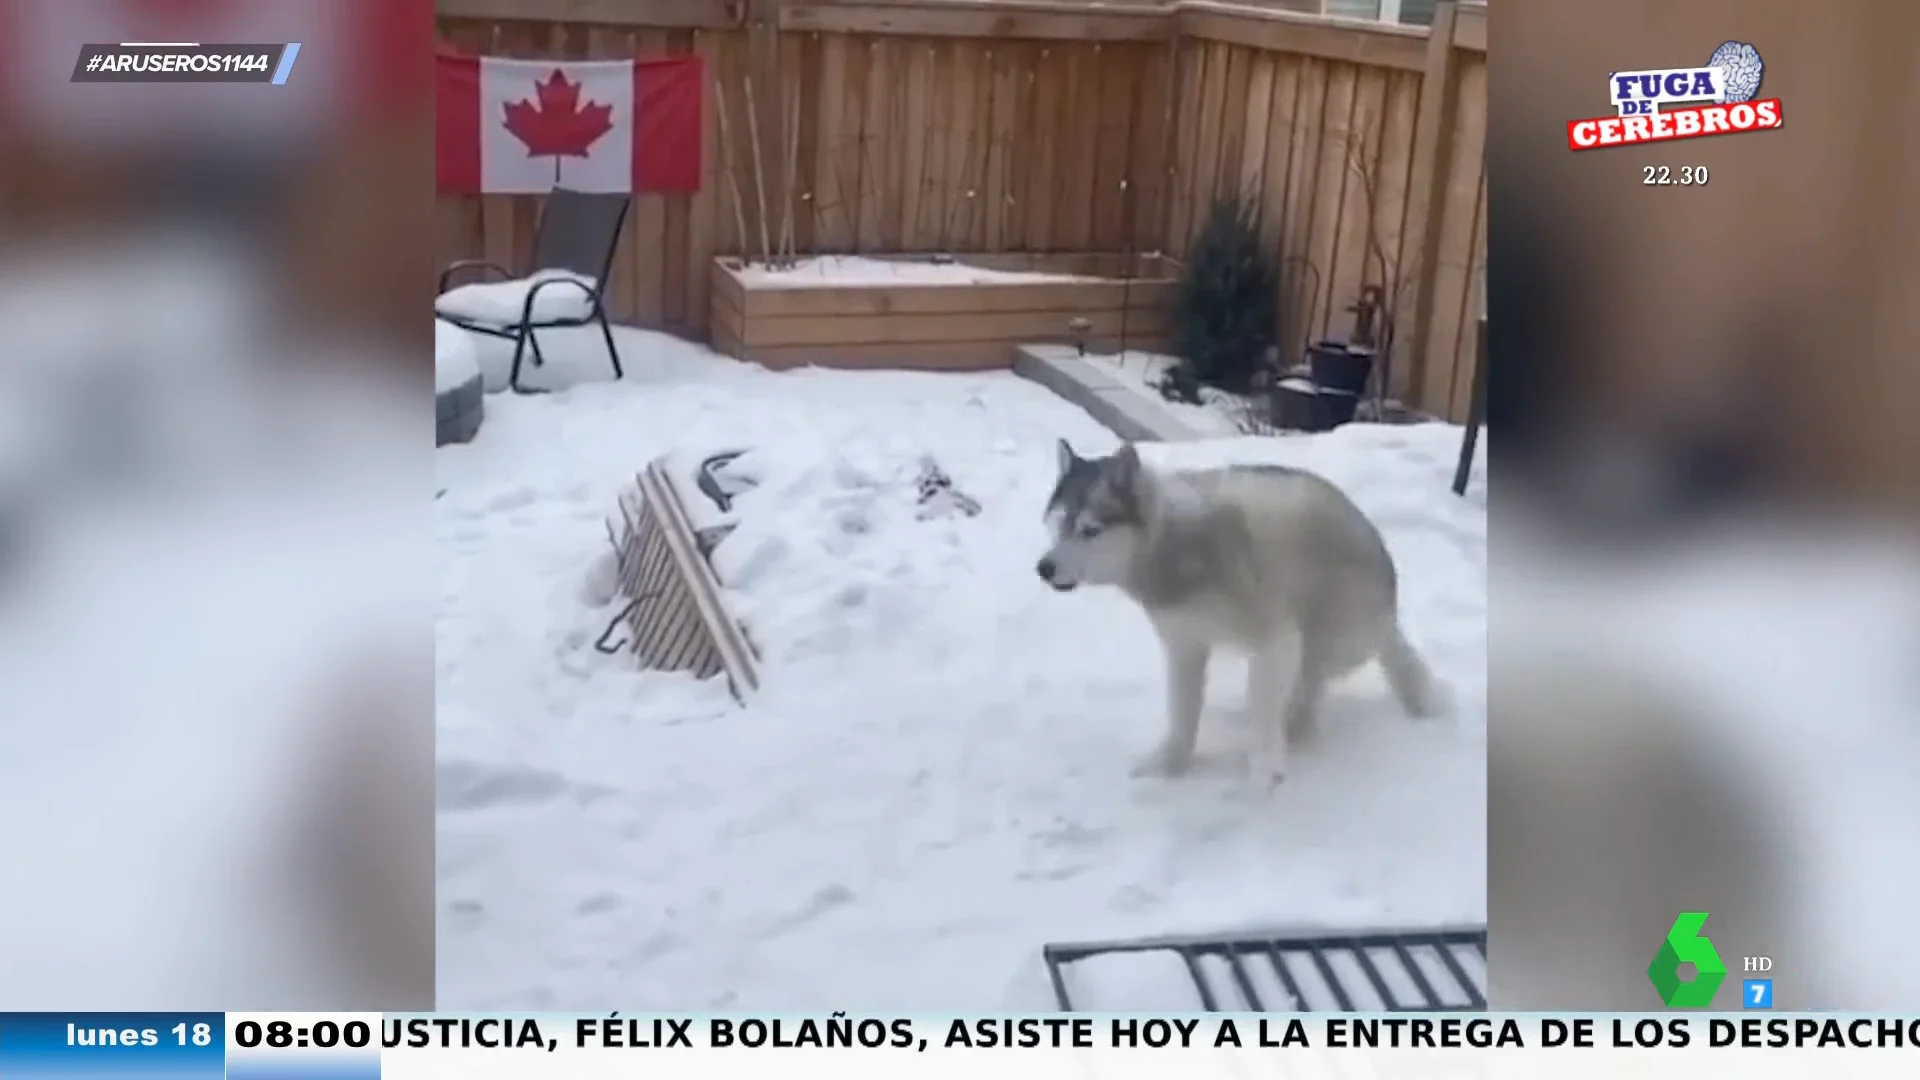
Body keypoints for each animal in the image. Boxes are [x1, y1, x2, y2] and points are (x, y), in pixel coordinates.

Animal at [1036, 438, 1443, 780]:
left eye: (1090, 530)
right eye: (1057, 524)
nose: (1043, 568)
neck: (1173, 546)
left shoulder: (1276, 638)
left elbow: (1263, 703)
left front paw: (1265, 765)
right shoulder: (1185, 645)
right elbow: (1182, 711)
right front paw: (1170, 765)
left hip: (1331, 630)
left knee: (1312, 681)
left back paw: (1292, 727)